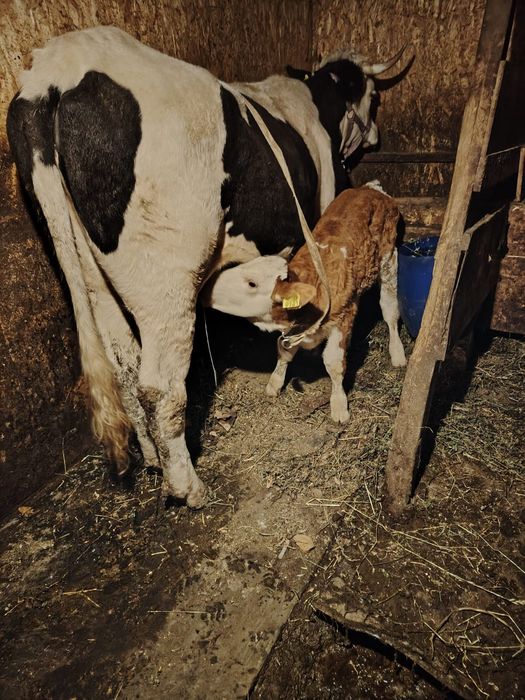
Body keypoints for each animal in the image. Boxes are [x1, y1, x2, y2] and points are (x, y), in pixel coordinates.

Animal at [204, 185, 406, 423]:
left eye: (252, 283)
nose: (206, 286)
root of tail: (371, 189)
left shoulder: (344, 317)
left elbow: (334, 363)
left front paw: (339, 405)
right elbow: (284, 351)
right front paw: (275, 383)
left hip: (389, 260)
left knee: (389, 309)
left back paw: (397, 353)